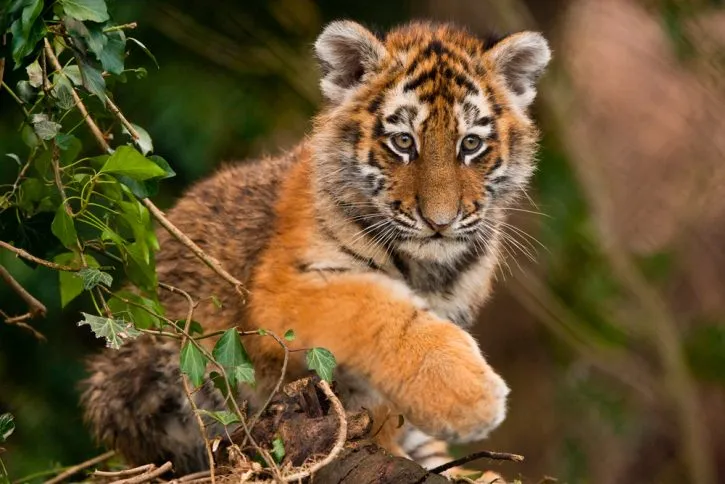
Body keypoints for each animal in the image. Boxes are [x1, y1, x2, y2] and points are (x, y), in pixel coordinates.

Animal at [81, 20, 551, 478]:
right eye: (402, 142)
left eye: (470, 144)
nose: (440, 221)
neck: (428, 268)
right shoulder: (283, 291)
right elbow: (380, 309)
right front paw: (468, 397)